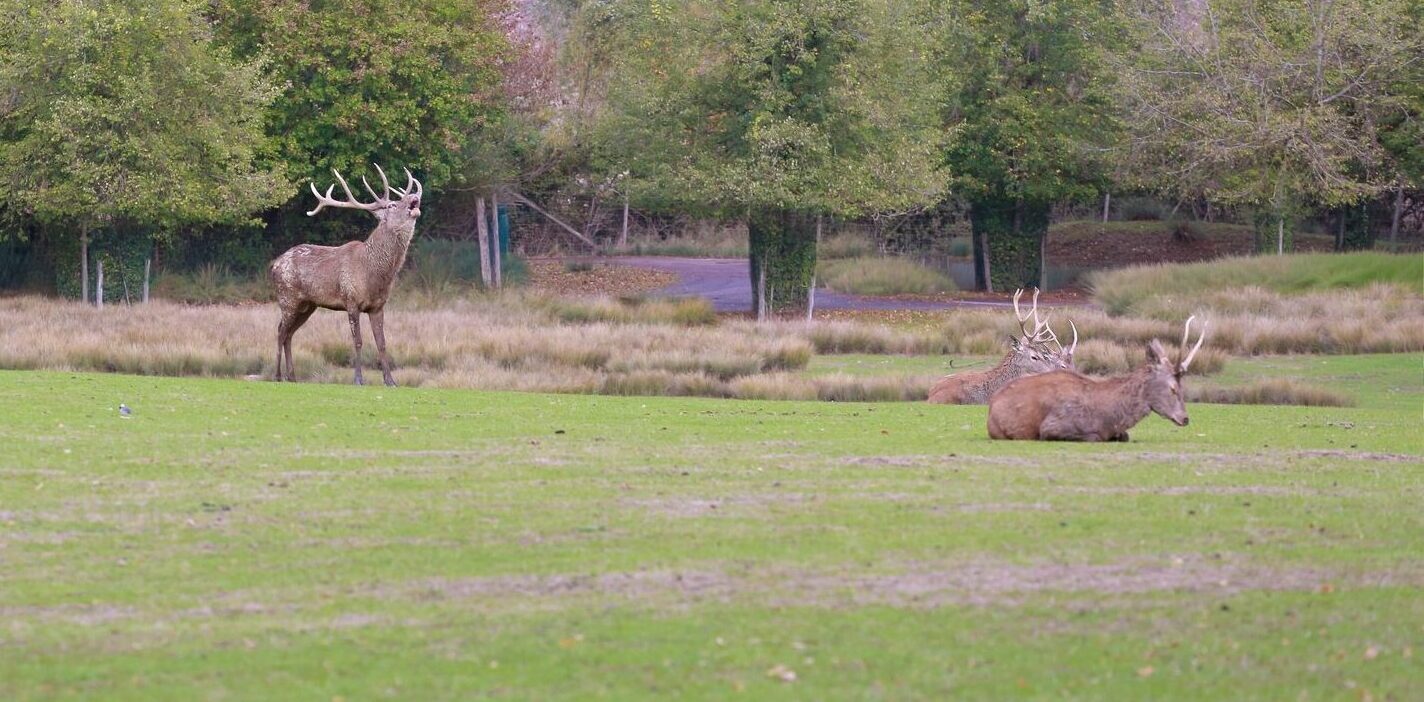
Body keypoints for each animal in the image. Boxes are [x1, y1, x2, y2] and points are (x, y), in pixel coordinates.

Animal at [270, 165, 423, 386]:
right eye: (392, 204)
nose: (414, 197)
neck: (373, 274)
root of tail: (274, 265)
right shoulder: (351, 300)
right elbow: (358, 341)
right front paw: (358, 379)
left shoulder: (378, 306)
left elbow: (382, 342)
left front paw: (390, 381)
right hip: (287, 297)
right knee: (281, 331)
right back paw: (277, 375)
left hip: (307, 305)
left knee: (289, 333)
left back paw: (292, 376)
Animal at [987, 316, 1209, 441]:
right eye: (1172, 388)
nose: (1185, 418)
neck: (1109, 417)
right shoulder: (1051, 427)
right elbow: (1093, 437)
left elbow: (1124, 436)